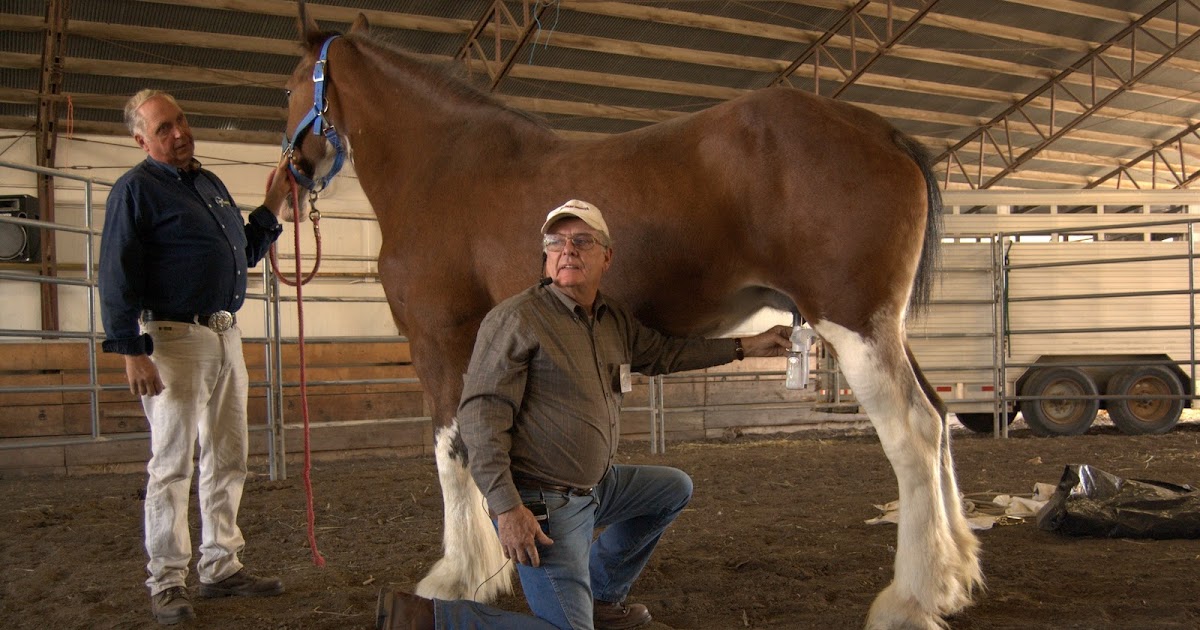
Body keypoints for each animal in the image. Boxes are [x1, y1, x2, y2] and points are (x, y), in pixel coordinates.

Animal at [281, 6, 981, 629]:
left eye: (289, 88)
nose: (290, 174)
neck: (446, 167)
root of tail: (881, 131)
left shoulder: (440, 339)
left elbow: (452, 451)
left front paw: (454, 576)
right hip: (886, 328)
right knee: (941, 419)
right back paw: (952, 580)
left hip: (854, 325)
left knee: (915, 435)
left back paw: (908, 600)